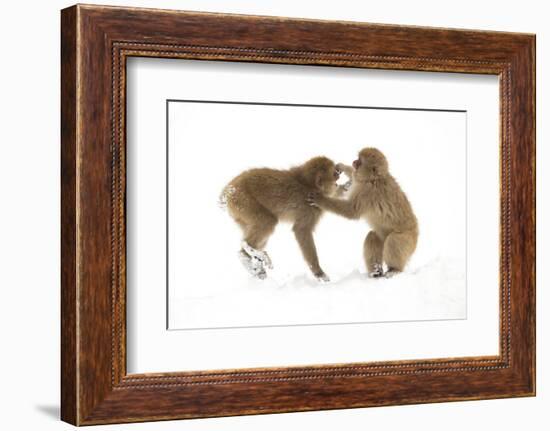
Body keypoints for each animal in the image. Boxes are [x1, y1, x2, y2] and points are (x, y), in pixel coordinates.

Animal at [220, 157, 350, 282]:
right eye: (334, 174)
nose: (339, 171)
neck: (308, 184)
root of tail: (228, 191)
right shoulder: (308, 209)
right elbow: (301, 230)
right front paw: (318, 272)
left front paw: (347, 186)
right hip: (243, 202)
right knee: (268, 222)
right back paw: (247, 250)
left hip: (240, 212)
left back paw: (252, 261)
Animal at [308, 148, 420, 276]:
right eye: (358, 159)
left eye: (360, 162)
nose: (354, 162)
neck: (374, 179)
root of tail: (416, 231)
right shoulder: (361, 182)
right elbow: (353, 176)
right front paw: (342, 166)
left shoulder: (367, 192)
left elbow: (351, 211)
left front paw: (320, 200)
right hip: (386, 236)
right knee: (372, 236)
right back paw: (376, 271)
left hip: (408, 239)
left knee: (394, 241)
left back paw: (394, 269)